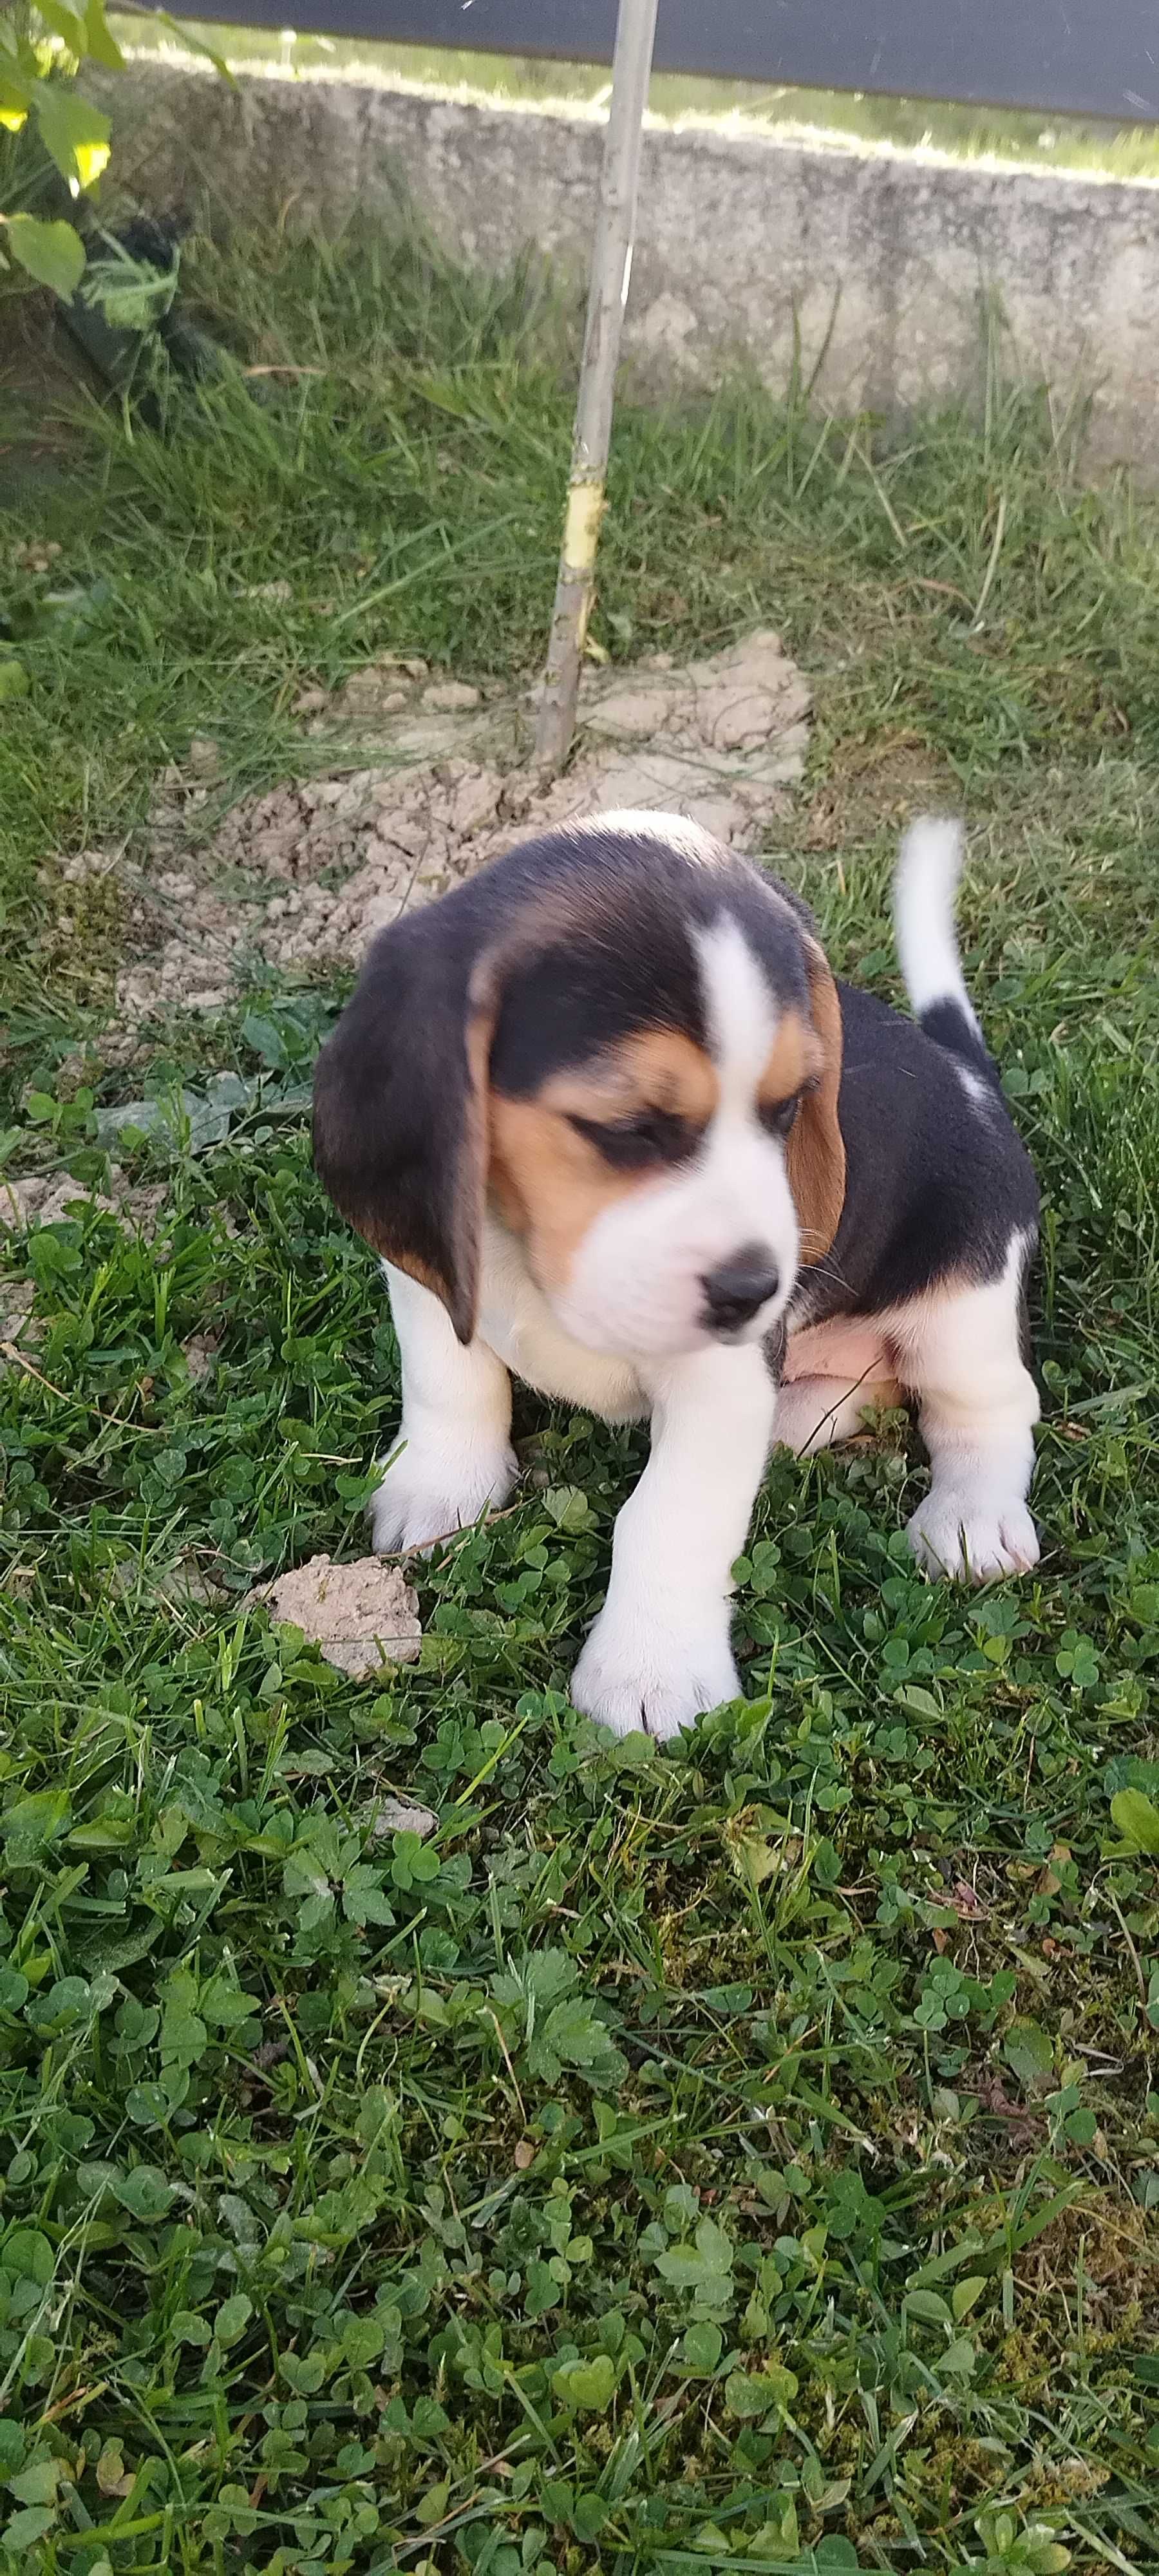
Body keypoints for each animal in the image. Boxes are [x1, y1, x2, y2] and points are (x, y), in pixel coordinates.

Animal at [317, 814, 1041, 1741]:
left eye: (789, 1108)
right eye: (628, 1126)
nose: (758, 1290)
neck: (529, 1254)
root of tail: (973, 1081)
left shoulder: (721, 1379)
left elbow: (668, 1517)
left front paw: (650, 1671)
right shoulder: (430, 1274)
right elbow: (448, 1382)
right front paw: (442, 1485)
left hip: (962, 1308)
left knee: (987, 1409)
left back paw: (972, 1518)